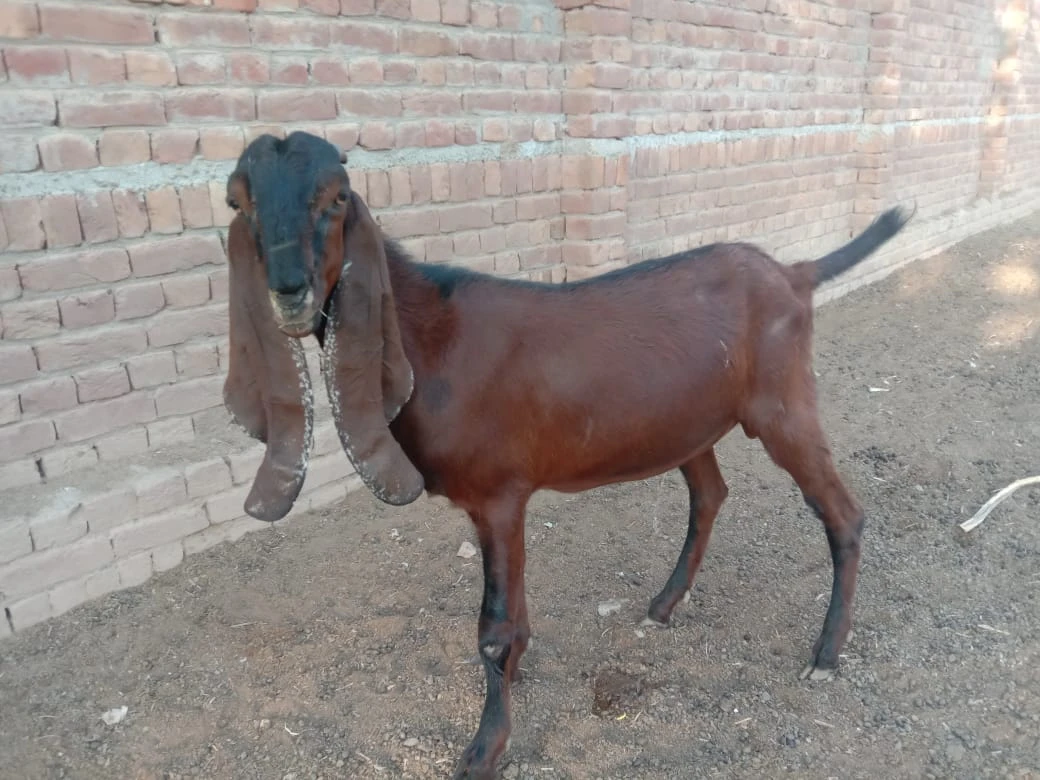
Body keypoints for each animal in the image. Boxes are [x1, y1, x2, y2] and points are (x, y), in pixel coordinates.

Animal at [219, 131, 911, 777]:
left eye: (337, 198)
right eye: (238, 201)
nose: (290, 293)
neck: (435, 338)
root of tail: (794, 273)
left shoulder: (499, 493)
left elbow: (493, 631)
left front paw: (485, 748)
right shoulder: (503, 501)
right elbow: (515, 614)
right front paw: (516, 680)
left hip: (782, 403)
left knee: (842, 512)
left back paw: (826, 654)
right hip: (688, 421)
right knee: (710, 493)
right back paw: (664, 605)